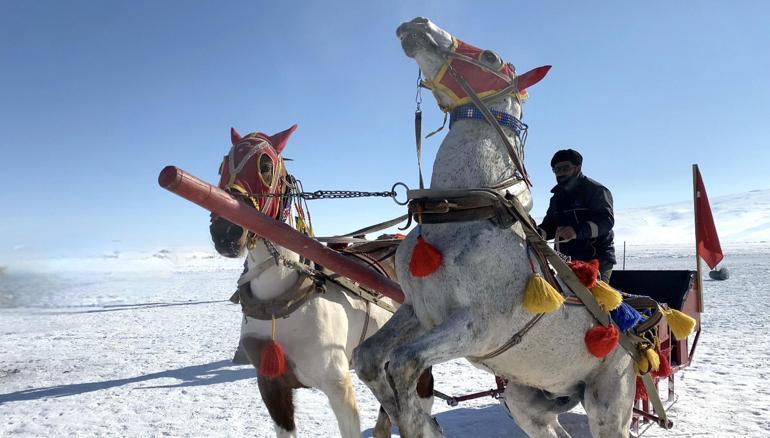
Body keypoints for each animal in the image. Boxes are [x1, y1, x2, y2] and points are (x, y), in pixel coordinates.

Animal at [354, 18, 632, 438]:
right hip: (526, 401)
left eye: (490, 57)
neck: (459, 213)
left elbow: (403, 364)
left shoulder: (477, 327)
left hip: (608, 405)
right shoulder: (419, 311)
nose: (418, 24)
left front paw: (422, 425)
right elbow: (367, 357)